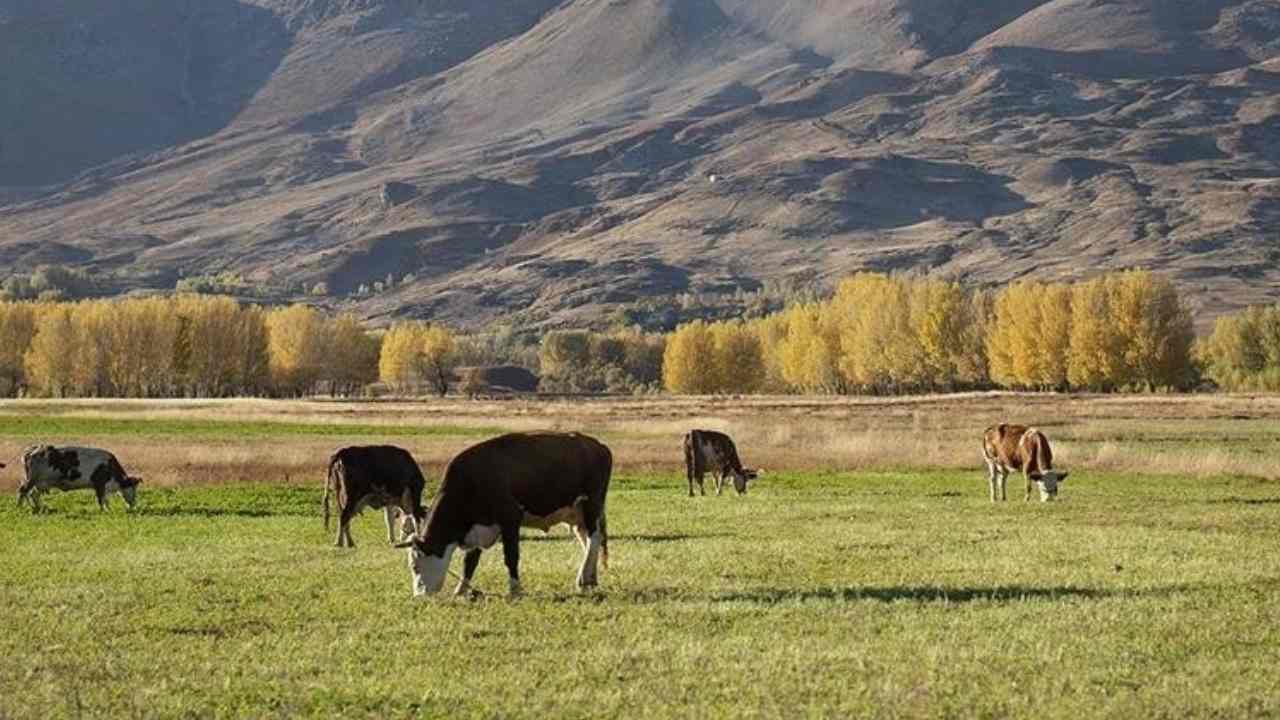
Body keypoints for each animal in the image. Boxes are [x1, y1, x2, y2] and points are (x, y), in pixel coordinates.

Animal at [396, 430, 611, 594]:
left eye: (415, 566)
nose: (419, 595)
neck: (473, 480)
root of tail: (598, 445)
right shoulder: (477, 528)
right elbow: (470, 562)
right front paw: (461, 590)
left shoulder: (511, 519)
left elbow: (511, 556)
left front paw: (515, 589)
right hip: (576, 514)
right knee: (587, 540)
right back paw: (590, 577)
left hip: (591, 506)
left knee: (593, 538)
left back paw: (583, 579)